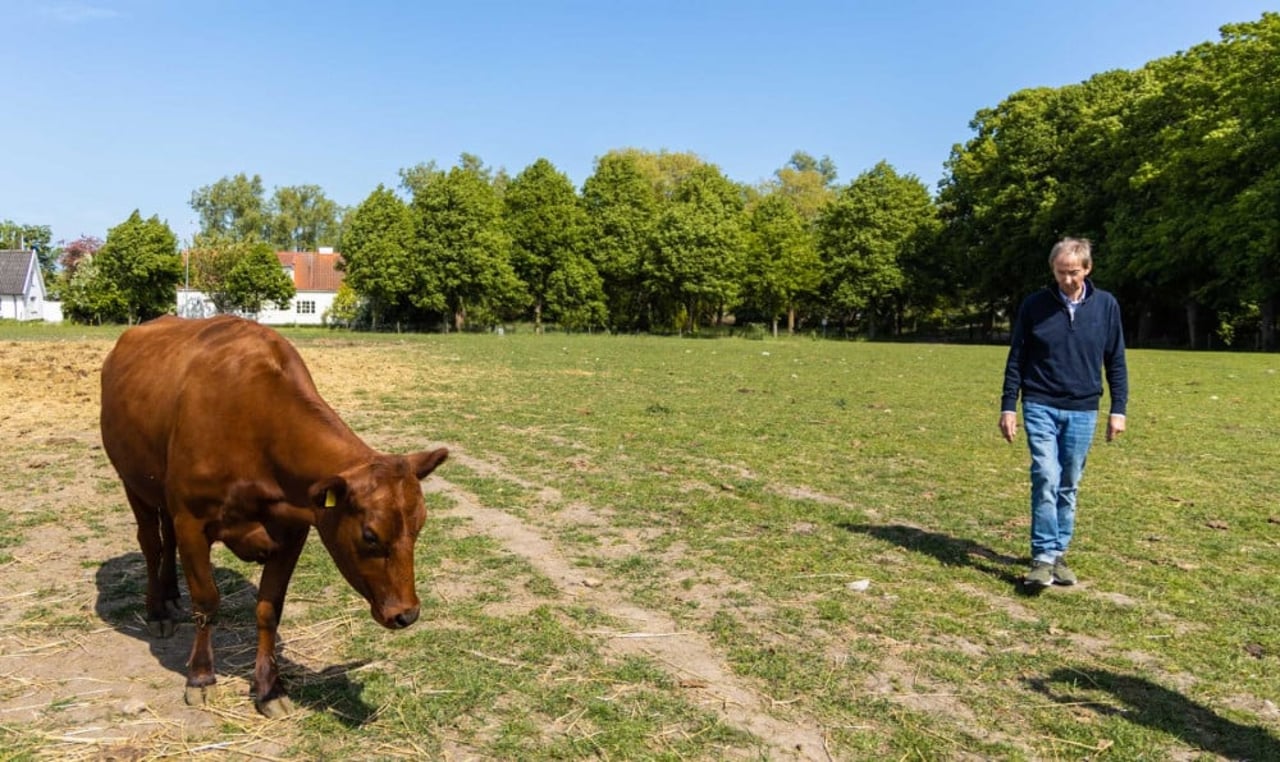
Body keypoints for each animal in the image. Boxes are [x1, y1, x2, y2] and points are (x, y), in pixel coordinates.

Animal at [96, 312, 445, 717]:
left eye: (419, 527)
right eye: (370, 535)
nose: (407, 614)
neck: (255, 428)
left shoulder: (292, 530)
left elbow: (268, 609)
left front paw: (268, 689)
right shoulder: (192, 520)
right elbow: (207, 600)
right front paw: (200, 678)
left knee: (166, 542)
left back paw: (170, 594)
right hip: (132, 480)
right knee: (152, 544)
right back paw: (157, 610)